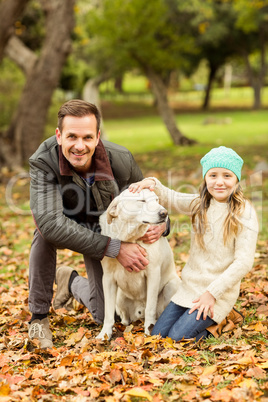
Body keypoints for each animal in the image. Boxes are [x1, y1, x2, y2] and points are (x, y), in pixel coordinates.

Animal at [96, 188, 180, 340]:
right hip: (120, 298)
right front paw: (105, 334)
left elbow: (150, 307)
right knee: (125, 318)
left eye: (156, 200)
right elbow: (108, 313)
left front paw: (149, 333)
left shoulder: (153, 273)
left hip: (172, 285)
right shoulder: (108, 279)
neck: (130, 239)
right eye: (142, 200)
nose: (164, 213)